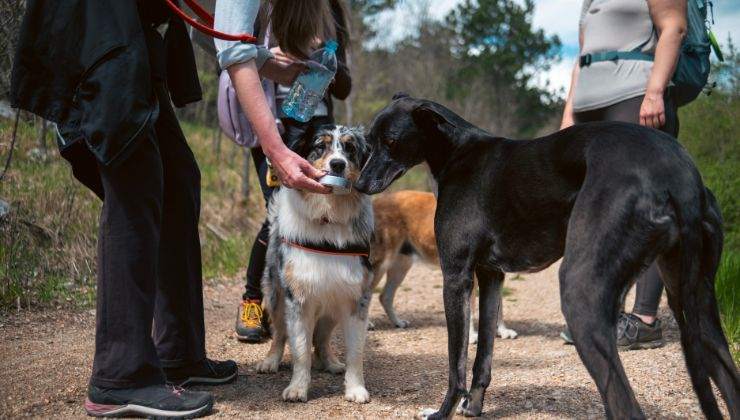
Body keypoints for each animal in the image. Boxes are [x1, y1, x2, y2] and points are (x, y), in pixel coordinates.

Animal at [368, 190, 516, 342]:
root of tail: (377, 201)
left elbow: (499, 307)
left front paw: (503, 331)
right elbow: (470, 310)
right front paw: (472, 336)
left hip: (401, 266)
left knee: (384, 296)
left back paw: (398, 322)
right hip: (381, 264)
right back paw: (368, 324)